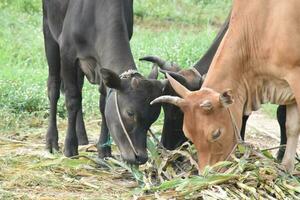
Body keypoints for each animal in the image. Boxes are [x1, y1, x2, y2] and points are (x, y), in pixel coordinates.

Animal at [42, 0, 165, 164]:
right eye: (130, 113)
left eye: (153, 118)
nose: (140, 157)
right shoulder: (67, 53)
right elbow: (72, 100)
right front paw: (70, 147)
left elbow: (103, 104)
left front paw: (104, 149)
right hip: (49, 33)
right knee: (54, 88)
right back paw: (51, 141)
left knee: (79, 88)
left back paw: (82, 136)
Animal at [151, 0, 300, 172]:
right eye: (188, 133)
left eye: (216, 134)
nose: (164, 149)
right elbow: (291, 126)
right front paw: (286, 167)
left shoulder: (295, 78)